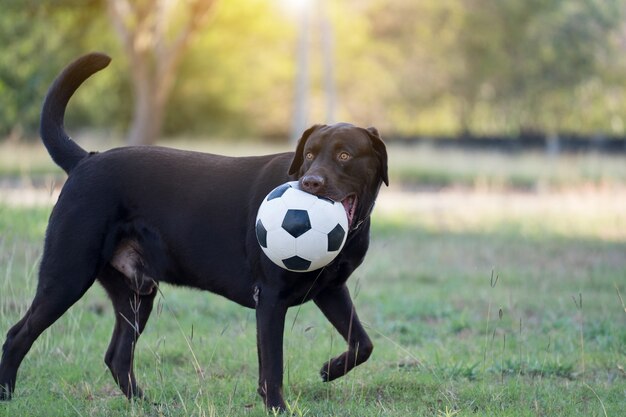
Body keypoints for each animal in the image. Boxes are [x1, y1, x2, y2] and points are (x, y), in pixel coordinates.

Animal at [0, 52, 388, 410]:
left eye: (344, 156)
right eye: (308, 155)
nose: (310, 183)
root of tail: (86, 159)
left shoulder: (331, 288)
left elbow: (363, 343)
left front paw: (329, 369)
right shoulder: (270, 298)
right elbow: (272, 367)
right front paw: (278, 407)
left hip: (136, 292)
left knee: (117, 355)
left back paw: (145, 404)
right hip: (67, 275)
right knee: (17, 335)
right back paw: (6, 394)